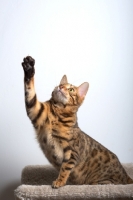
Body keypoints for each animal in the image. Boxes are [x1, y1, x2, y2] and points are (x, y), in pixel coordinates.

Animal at [21, 55, 132, 188]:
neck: (58, 113)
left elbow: (65, 168)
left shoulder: (71, 152)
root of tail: (126, 175)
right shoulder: (35, 110)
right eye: (61, 85)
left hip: (102, 182)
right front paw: (29, 68)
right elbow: (30, 92)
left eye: (71, 90)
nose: (60, 87)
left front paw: (59, 182)